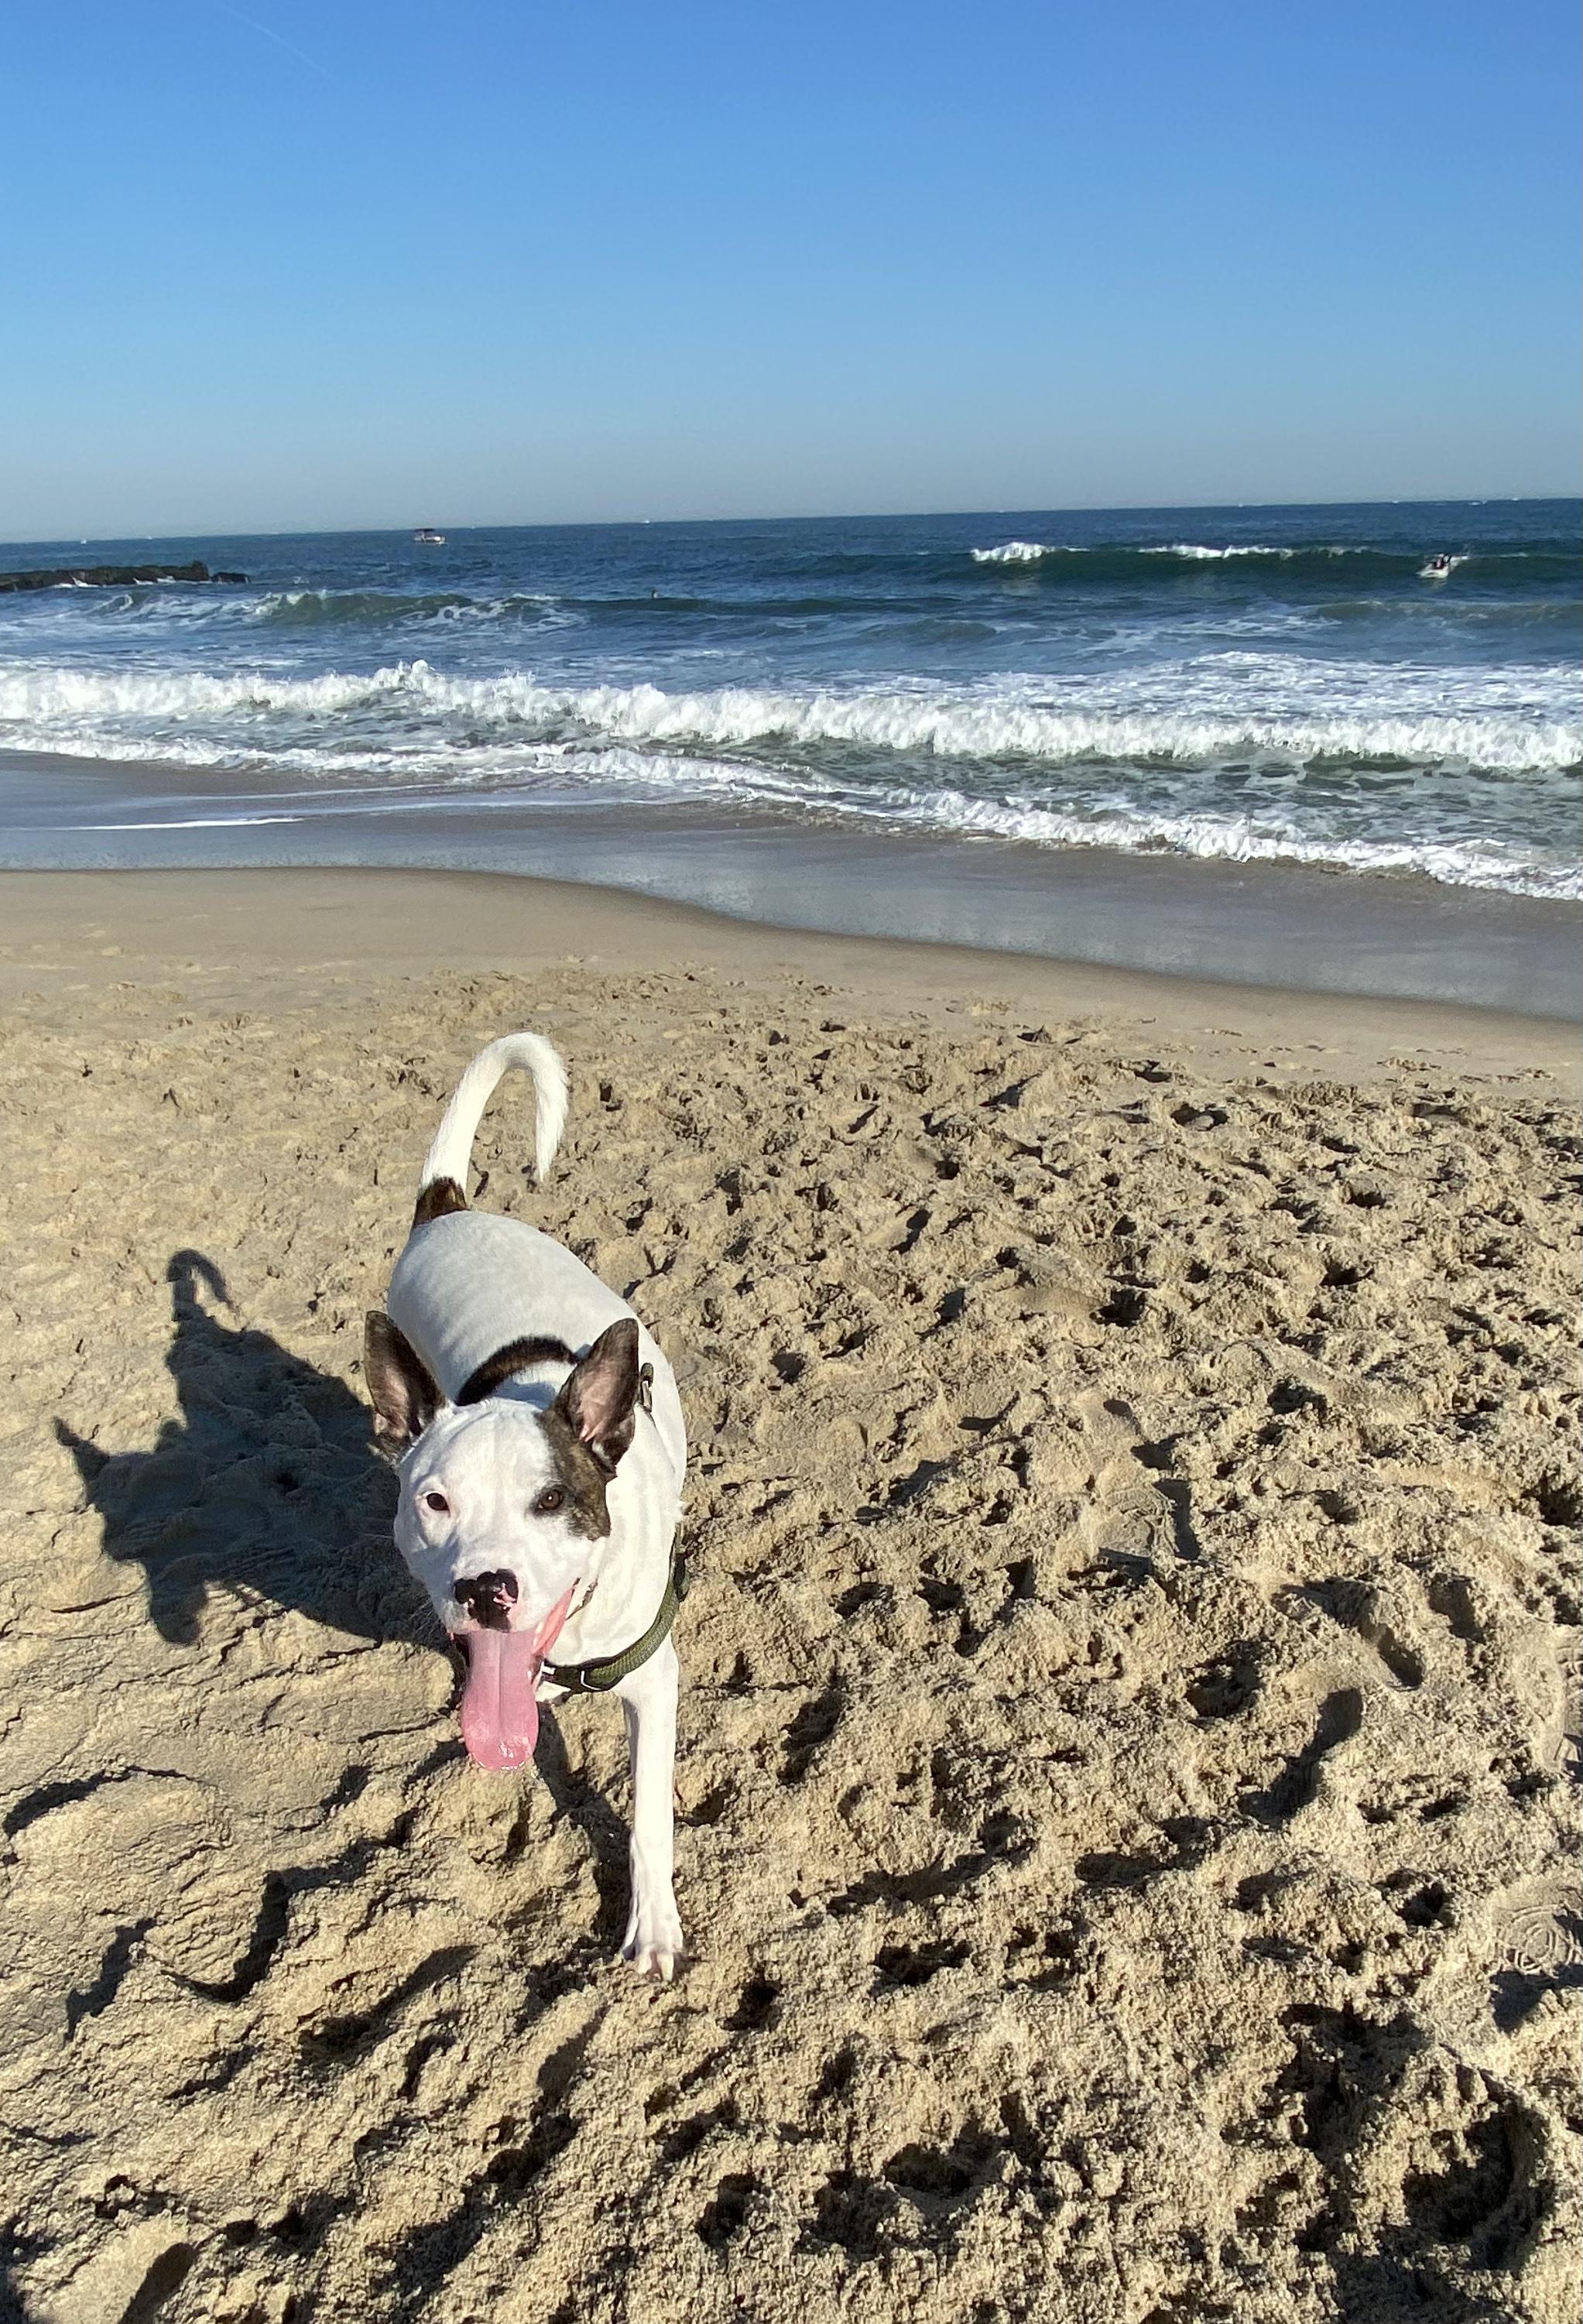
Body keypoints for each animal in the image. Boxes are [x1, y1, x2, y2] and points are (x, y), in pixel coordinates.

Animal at [369, 1036, 692, 1980]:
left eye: (552, 1499)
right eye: (435, 1502)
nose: (485, 1589)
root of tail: (448, 1210)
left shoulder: (654, 1679)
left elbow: (649, 1819)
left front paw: (652, 1925)